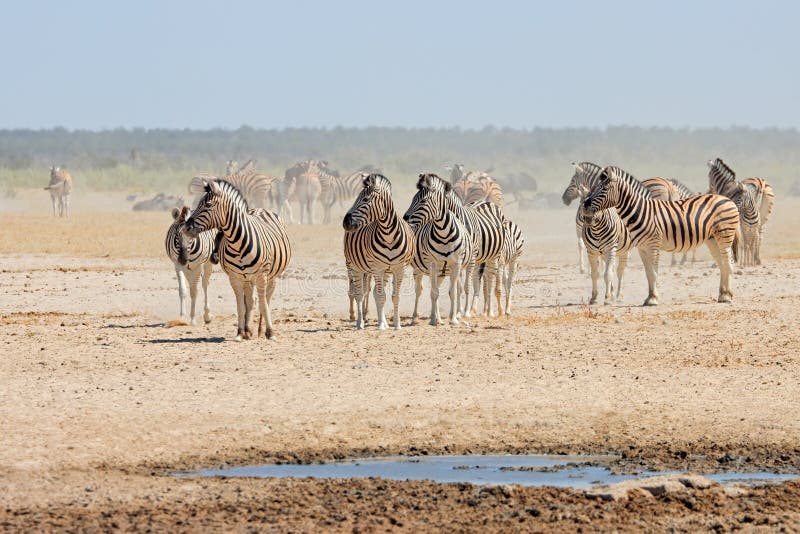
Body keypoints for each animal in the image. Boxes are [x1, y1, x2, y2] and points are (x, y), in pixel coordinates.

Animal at [183, 178, 292, 342]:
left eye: (208, 205)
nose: (185, 228)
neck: (238, 243)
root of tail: (259, 209)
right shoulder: (235, 278)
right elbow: (241, 305)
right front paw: (240, 332)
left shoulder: (262, 276)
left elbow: (263, 304)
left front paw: (270, 333)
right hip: (247, 278)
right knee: (251, 301)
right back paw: (249, 330)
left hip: (271, 276)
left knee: (266, 299)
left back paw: (261, 330)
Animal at [342, 174, 412, 330]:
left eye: (366, 199)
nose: (345, 222)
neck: (389, 235)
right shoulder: (377, 267)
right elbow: (380, 296)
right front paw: (380, 326)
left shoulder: (399, 268)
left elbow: (394, 296)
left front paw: (396, 325)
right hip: (354, 266)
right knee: (359, 294)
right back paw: (360, 323)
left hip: (385, 271)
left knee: (373, 292)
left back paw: (384, 322)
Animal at [406, 175, 476, 326]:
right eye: (413, 199)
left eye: (423, 201)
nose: (405, 218)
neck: (444, 234)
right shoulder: (432, 264)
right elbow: (434, 293)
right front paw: (432, 319)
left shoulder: (456, 264)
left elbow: (453, 292)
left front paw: (453, 319)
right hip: (420, 269)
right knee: (419, 290)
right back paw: (416, 317)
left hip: (442, 272)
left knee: (437, 288)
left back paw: (439, 318)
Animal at [580, 165, 736, 308]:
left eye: (604, 189)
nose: (585, 206)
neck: (640, 211)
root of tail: (726, 198)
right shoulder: (642, 248)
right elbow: (649, 273)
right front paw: (649, 297)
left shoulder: (653, 245)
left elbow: (654, 273)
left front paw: (653, 299)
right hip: (712, 240)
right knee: (722, 264)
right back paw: (722, 295)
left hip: (725, 236)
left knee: (727, 263)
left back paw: (727, 296)